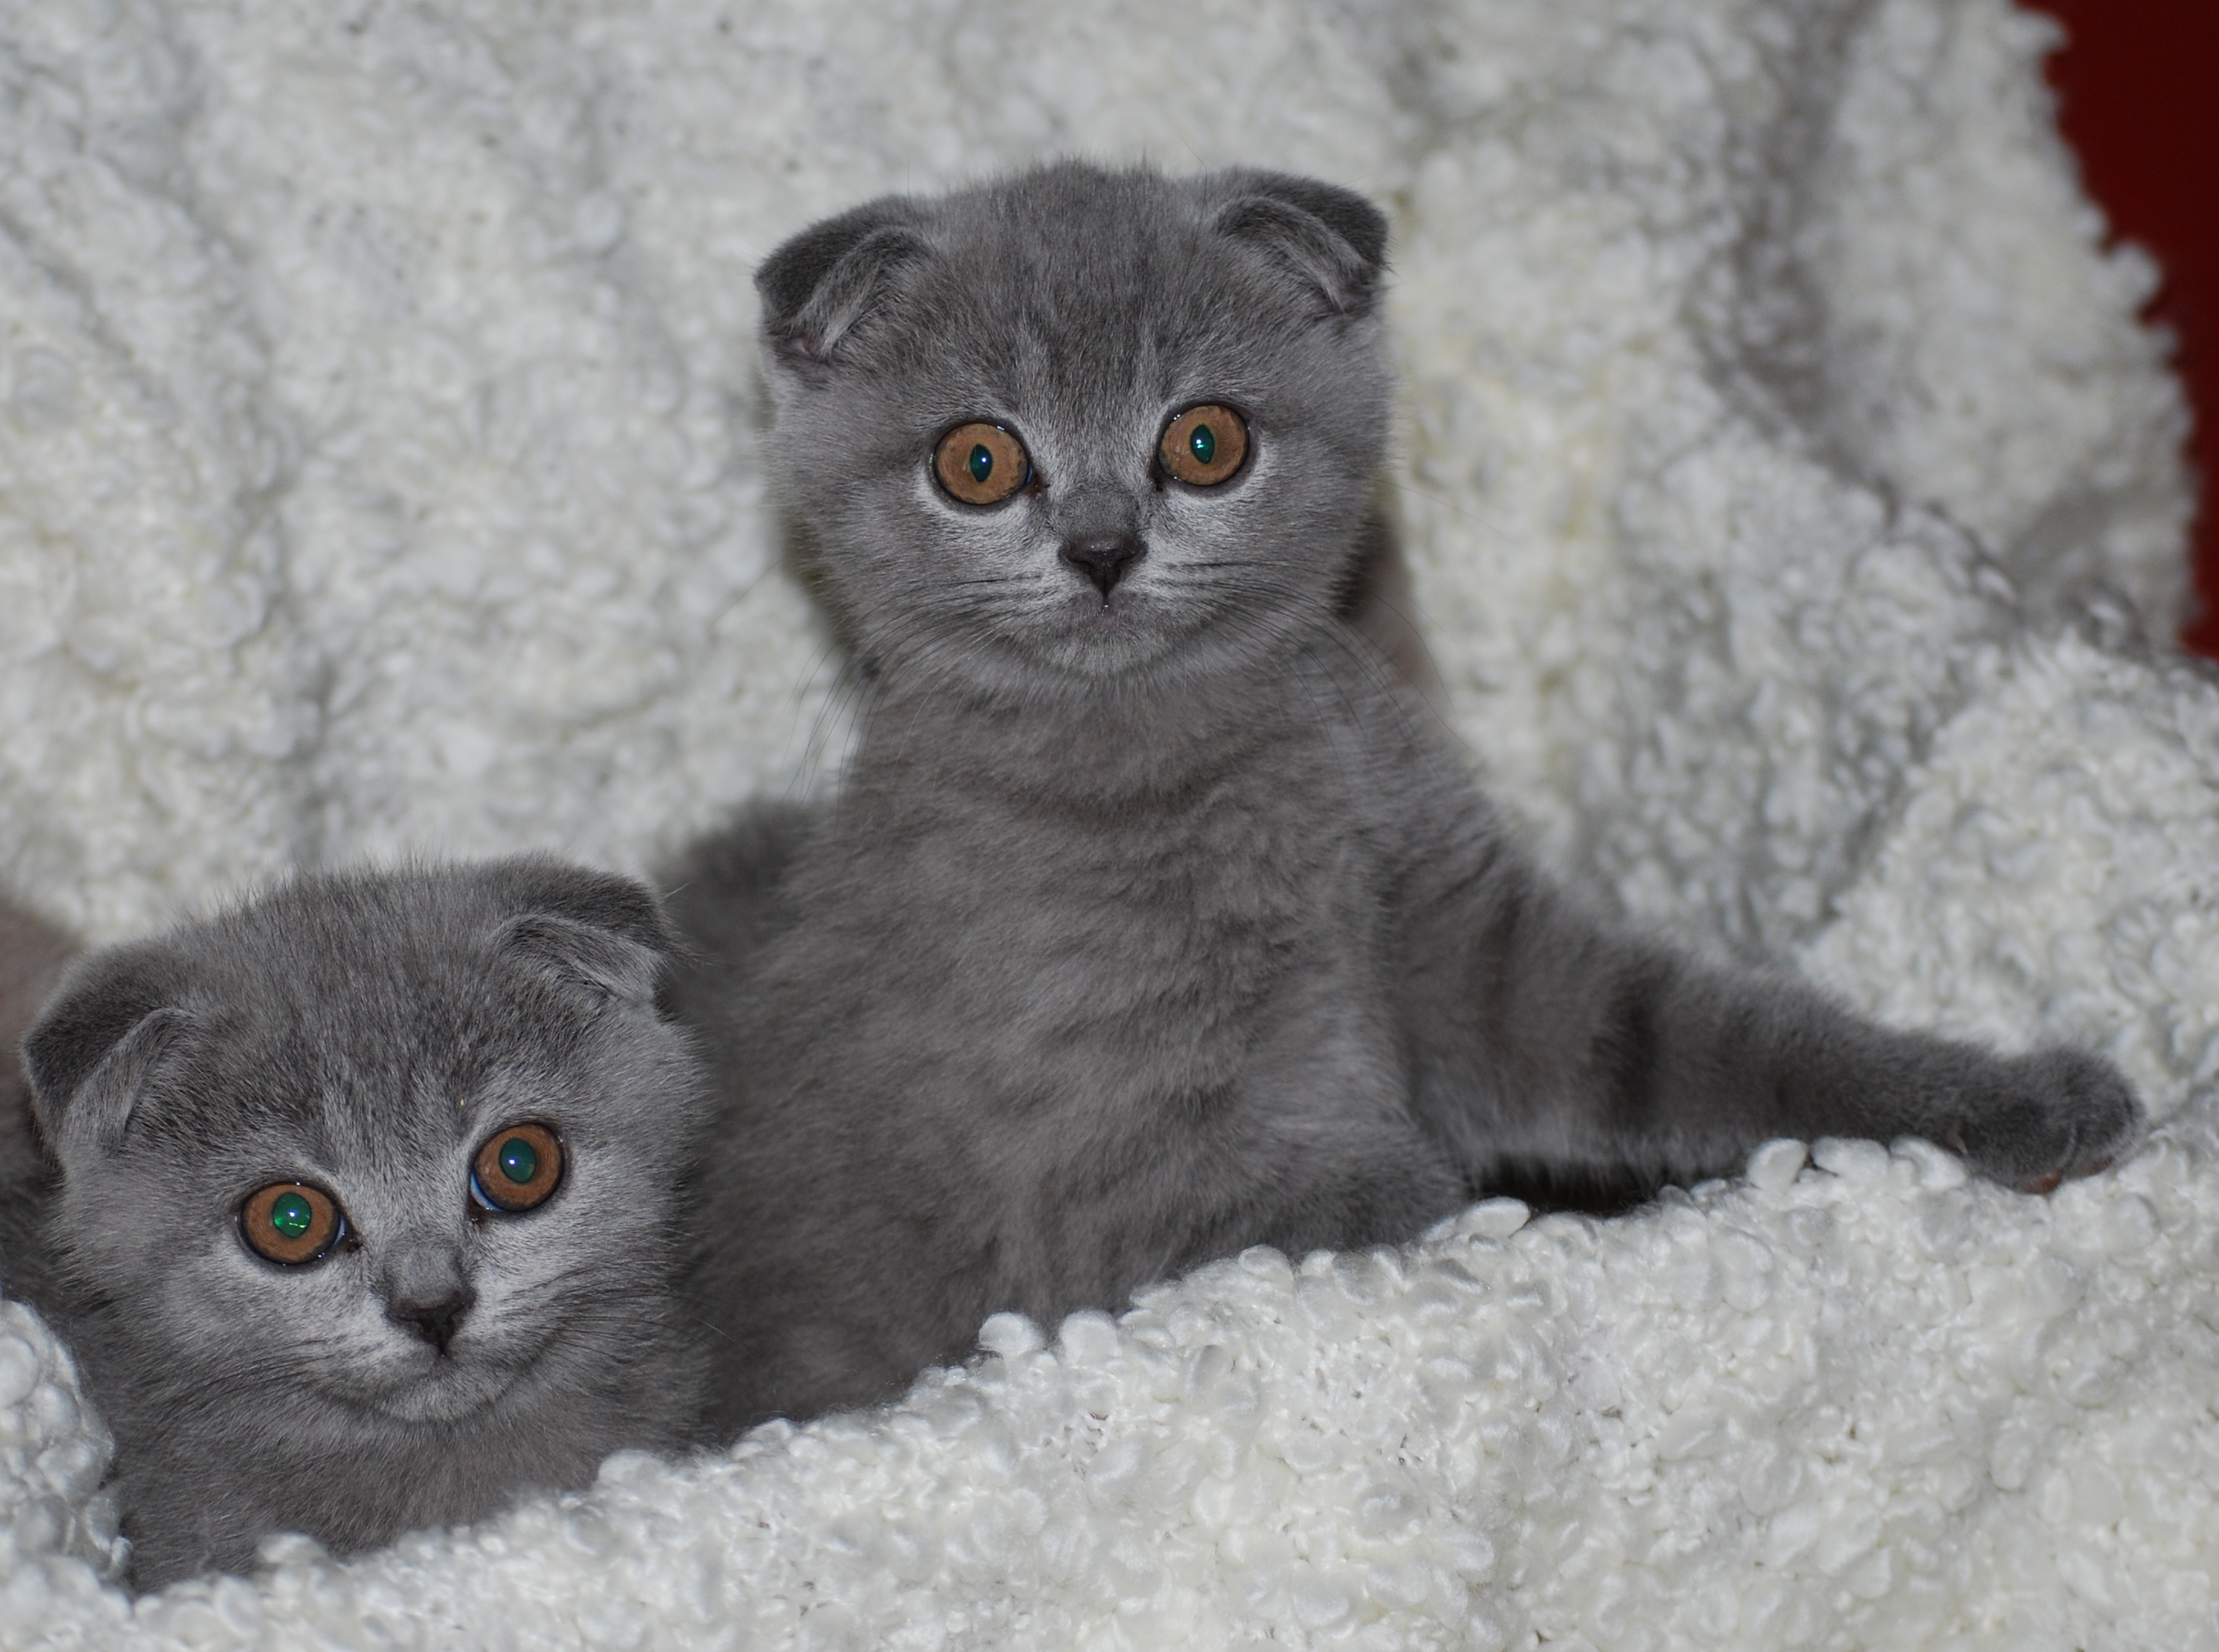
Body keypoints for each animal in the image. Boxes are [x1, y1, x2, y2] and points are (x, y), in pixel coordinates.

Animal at [683, 160, 2139, 1438]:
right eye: (977, 461)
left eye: (1203, 442)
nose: (1101, 549)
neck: (1188, 763)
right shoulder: (1090, 1196)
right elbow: (1380, 1204)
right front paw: (1530, 1239)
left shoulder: (1468, 938)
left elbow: (1715, 1039)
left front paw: (2007, 1096)